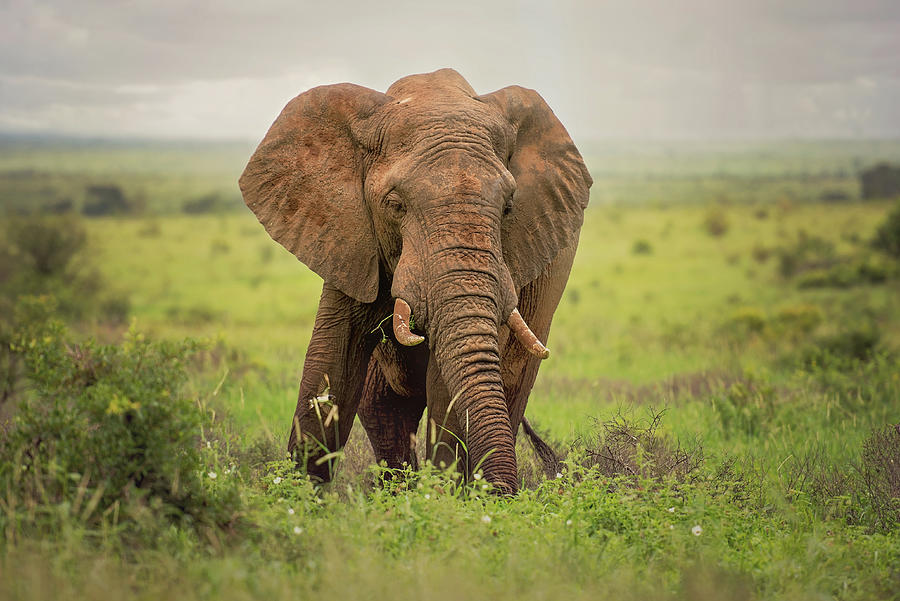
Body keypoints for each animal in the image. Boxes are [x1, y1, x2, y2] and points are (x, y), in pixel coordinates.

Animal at [239, 69, 592, 492]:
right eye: (395, 205)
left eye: (509, 207)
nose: (505, 495)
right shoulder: (346, 236)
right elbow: (331, 357)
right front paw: (298, 496)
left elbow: (448, 381)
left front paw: (444, 500)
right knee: (385, 407)